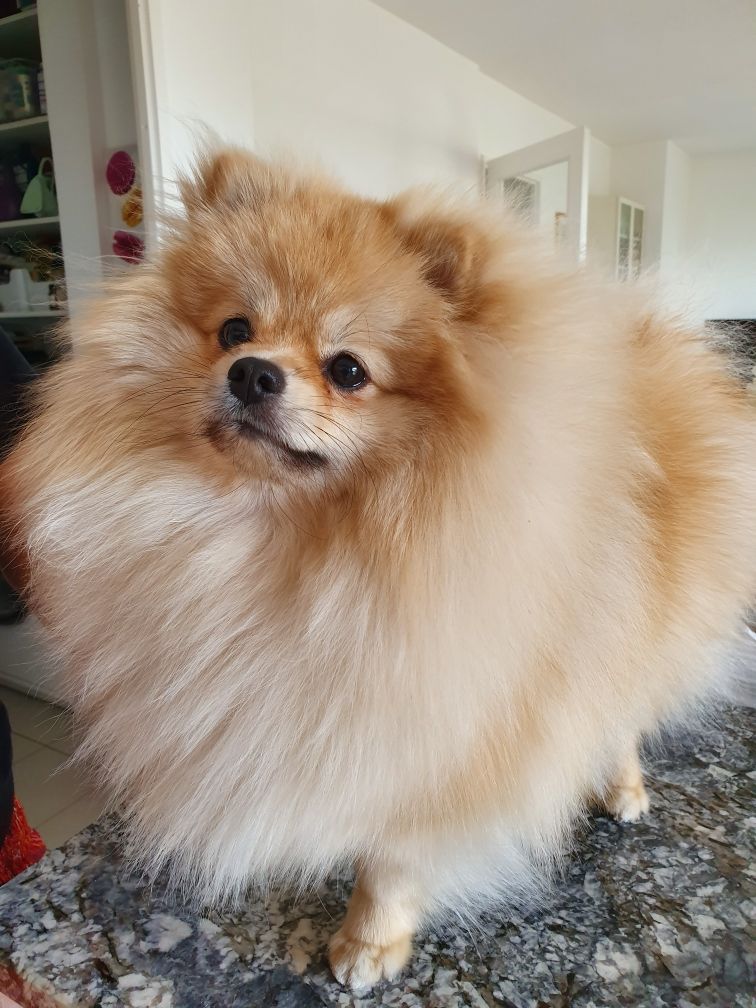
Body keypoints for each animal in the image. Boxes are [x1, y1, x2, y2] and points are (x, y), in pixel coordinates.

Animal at [2, 148, 755, 990]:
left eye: (349, 370)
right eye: (235, 329)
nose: (252, 372)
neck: (284, 539)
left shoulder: (434, 742)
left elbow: (393, 861)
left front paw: (368, 941)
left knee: (622, 717)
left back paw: (621, 788)